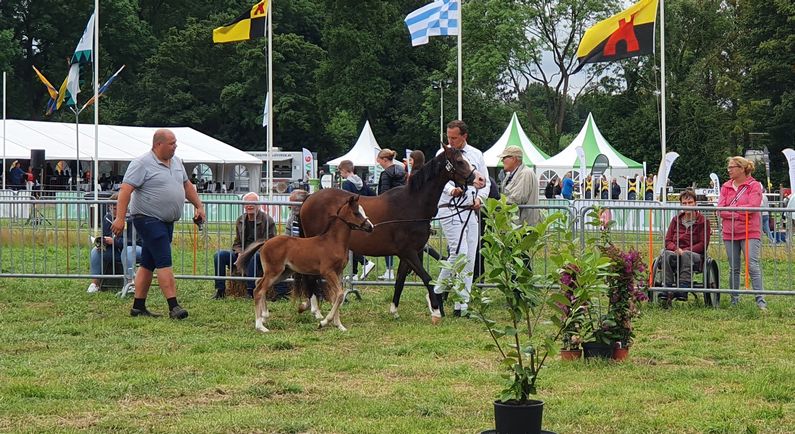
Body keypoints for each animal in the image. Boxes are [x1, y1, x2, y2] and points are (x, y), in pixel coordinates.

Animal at [246, 197, 374, 332]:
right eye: (356, 213)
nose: (370, 227)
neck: (333, 242)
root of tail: (266, 242)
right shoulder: (327, 272)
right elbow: (339, 295)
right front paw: (323, 322)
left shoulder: (338, 273)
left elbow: (336, 297)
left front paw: (339, 325)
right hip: (274, 271)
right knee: (258, 290)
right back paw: (260, 325)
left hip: (283, 273)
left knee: (258, 283)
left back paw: (264, 316)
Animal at [296, 146, 472, 322]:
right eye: (459, 161)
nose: (476, 178)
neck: (412, 205)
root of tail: (309, 198)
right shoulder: (409, 252)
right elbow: (427, 278)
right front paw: (436, 311)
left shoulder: (406, 255)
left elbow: (400, 281)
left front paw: (394, 310)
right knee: (311, 276)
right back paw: (316, 311)